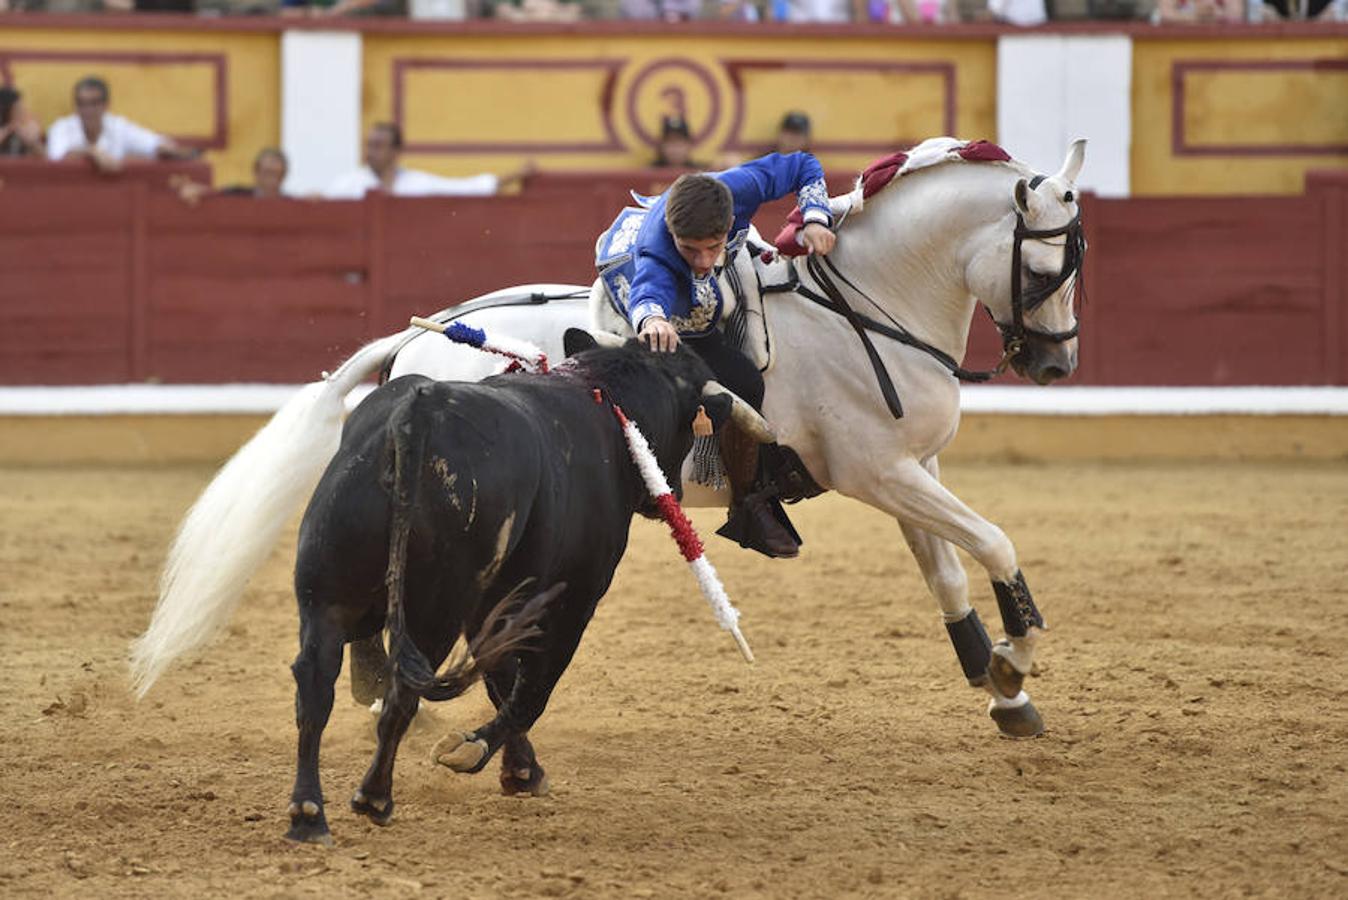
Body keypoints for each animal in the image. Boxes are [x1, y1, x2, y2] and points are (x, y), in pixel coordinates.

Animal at [134, 135, 1083, 738]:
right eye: (1045, 268)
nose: (1056, 364)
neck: (866, 302)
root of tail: (420, 340)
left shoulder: (912, 467)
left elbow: (948, 570)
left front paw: (1000, 688)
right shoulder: (877, 471)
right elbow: (994, 543)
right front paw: (1018, 658)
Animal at [284, 332, 771, 846]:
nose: (671, 493)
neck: (603, 397)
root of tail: (415, 417)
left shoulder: (494, 604)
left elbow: (502, 680)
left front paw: (520, 770)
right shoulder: (573, 601)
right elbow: (531, 690)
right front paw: (477, 752)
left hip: (325, 595)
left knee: (315, 684)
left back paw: (308, 814)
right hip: (433, 609)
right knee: (402, 694)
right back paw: (374, 797)